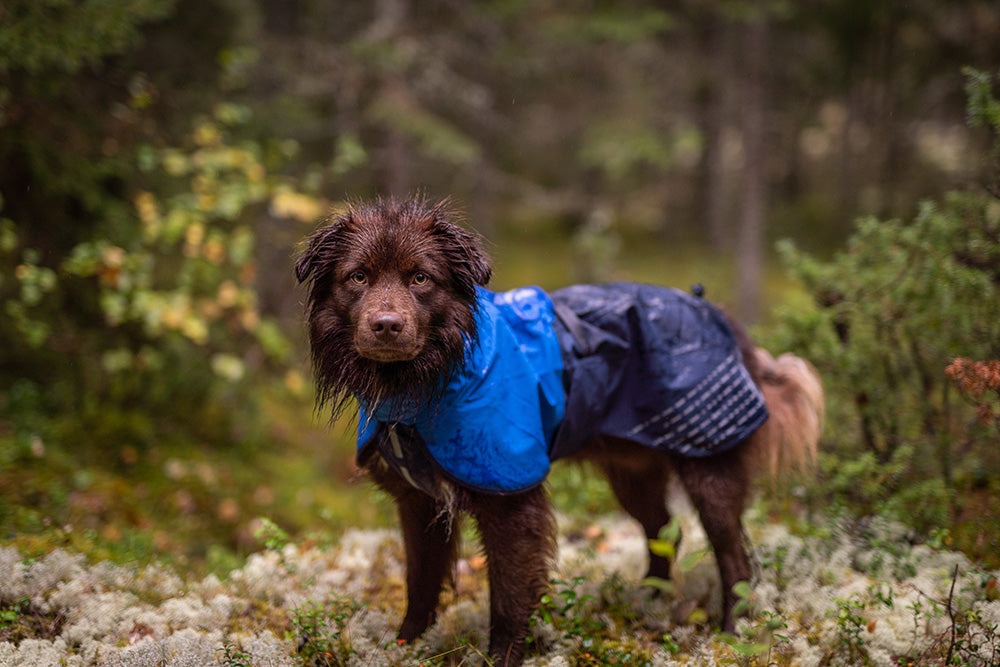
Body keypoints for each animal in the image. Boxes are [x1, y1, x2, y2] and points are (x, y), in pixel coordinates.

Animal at [292, 196, 824, 664]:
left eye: (420, 278)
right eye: (358, 276)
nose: (386, 325)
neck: (425, 385)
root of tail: (721, 317)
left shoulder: (513, 504)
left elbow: (508, 599)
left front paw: (501, 659)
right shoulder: (418, 501)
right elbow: (420, 583)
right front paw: (406, 647)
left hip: (707, 462)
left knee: (735, 560)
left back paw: (733, 635)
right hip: (633, 472)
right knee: (663, 534)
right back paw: (649, 601)